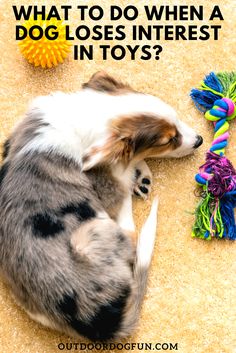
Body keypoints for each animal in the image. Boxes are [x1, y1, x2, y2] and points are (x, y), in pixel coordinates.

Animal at [0, 71, 203, 338]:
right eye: (168, 140)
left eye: (177, 119)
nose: (200, 140)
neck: (85, 116)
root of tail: (102, 324)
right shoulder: (108, 187)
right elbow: (123, 173)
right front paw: (135, 172)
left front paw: (141, 174)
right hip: (94, 230)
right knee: (132, 234)